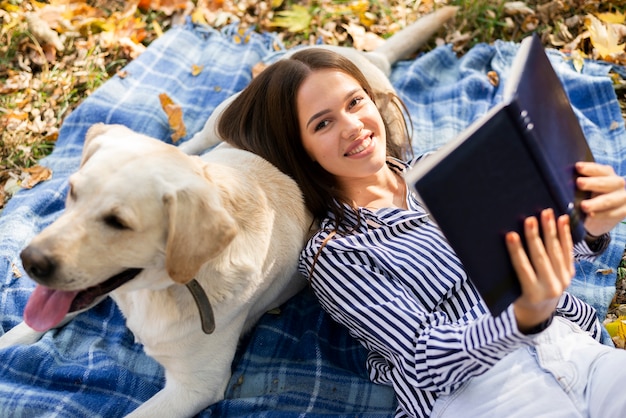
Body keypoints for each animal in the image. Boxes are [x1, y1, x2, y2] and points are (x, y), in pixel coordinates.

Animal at [1, 6, 458, 418]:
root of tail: (366, 57)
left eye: (118, 222)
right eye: (73, 193)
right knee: (193, 144)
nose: (30, 261)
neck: (167, 288)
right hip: (223, 116)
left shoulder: (194, 387)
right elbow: (32, 322)